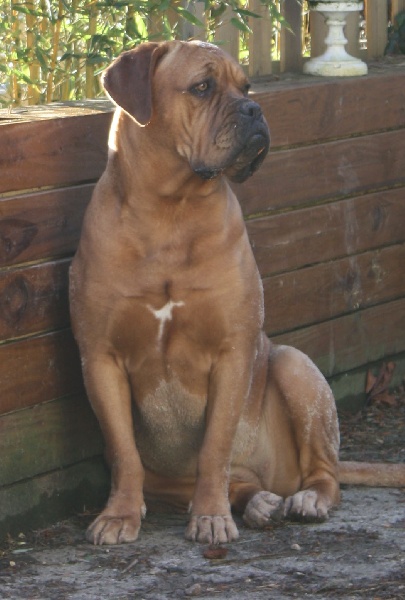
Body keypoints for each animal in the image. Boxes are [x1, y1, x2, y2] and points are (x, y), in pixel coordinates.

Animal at [69, 40, 405, 545]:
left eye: (247, 87)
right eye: (202, 87)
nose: (254, 110)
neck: (169, 211)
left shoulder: (233, 351)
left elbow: (215, 446)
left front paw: (210, 516)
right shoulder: (100, 358)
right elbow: (124, 450)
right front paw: (120, 515)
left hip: (295, 368)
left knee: (322, 470)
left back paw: (306, 498)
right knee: (238, 483)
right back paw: (258, 502)